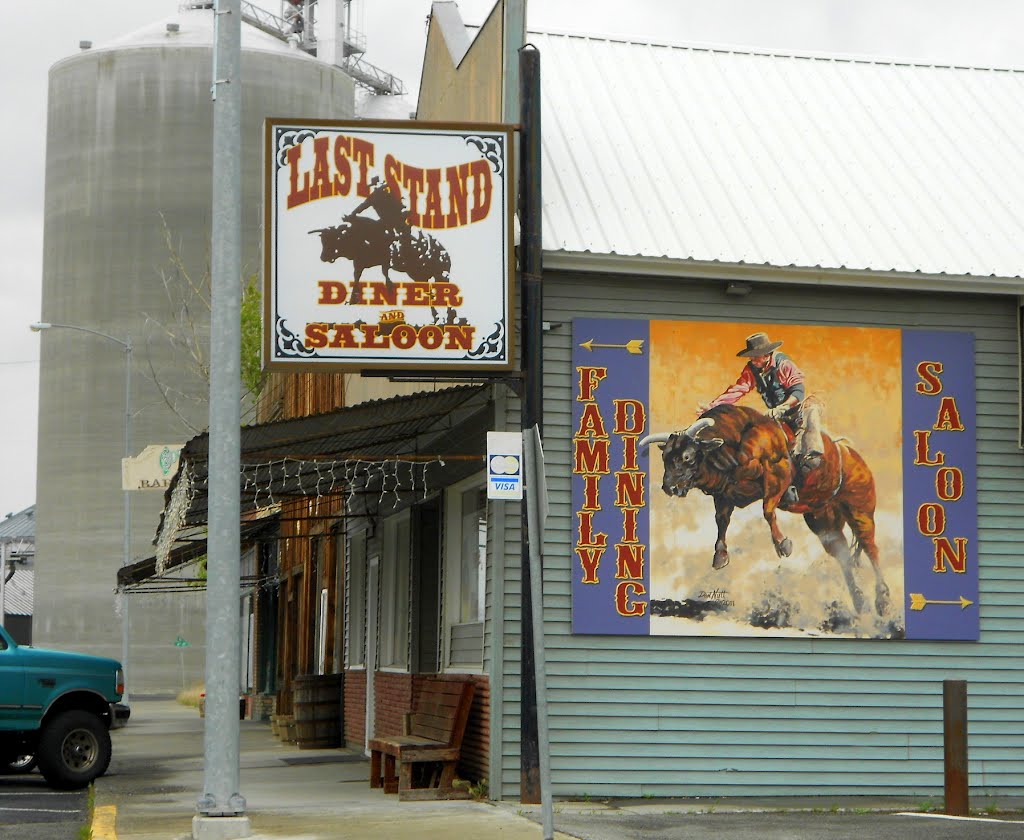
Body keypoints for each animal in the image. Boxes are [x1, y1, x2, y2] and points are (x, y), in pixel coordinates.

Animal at [634, 333, 892, 618]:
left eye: (688, 456)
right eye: (666, 457)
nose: (669, 487)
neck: (737, 442)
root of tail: (855, 458)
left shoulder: (777, 478)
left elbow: (768, 511)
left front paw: (783, 544)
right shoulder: (725, 495)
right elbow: (721, 521)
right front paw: (720, 557)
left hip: (860, 510)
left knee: (871, 548)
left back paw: (882, 601)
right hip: (823, 520)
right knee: (844, 555)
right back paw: (860, 603)